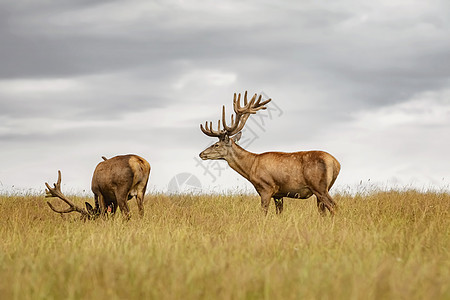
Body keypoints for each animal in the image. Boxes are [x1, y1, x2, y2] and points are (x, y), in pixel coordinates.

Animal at [199, 91, 340, 216]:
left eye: (216, 145)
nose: (201, 154)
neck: (251, 167)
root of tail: (336, 163)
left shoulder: (266, 188)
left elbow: (264, 212)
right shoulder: (278, 194)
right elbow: (279, 213)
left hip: (319, 186)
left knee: (333, 206)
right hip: (324, 188)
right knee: (323, 211)